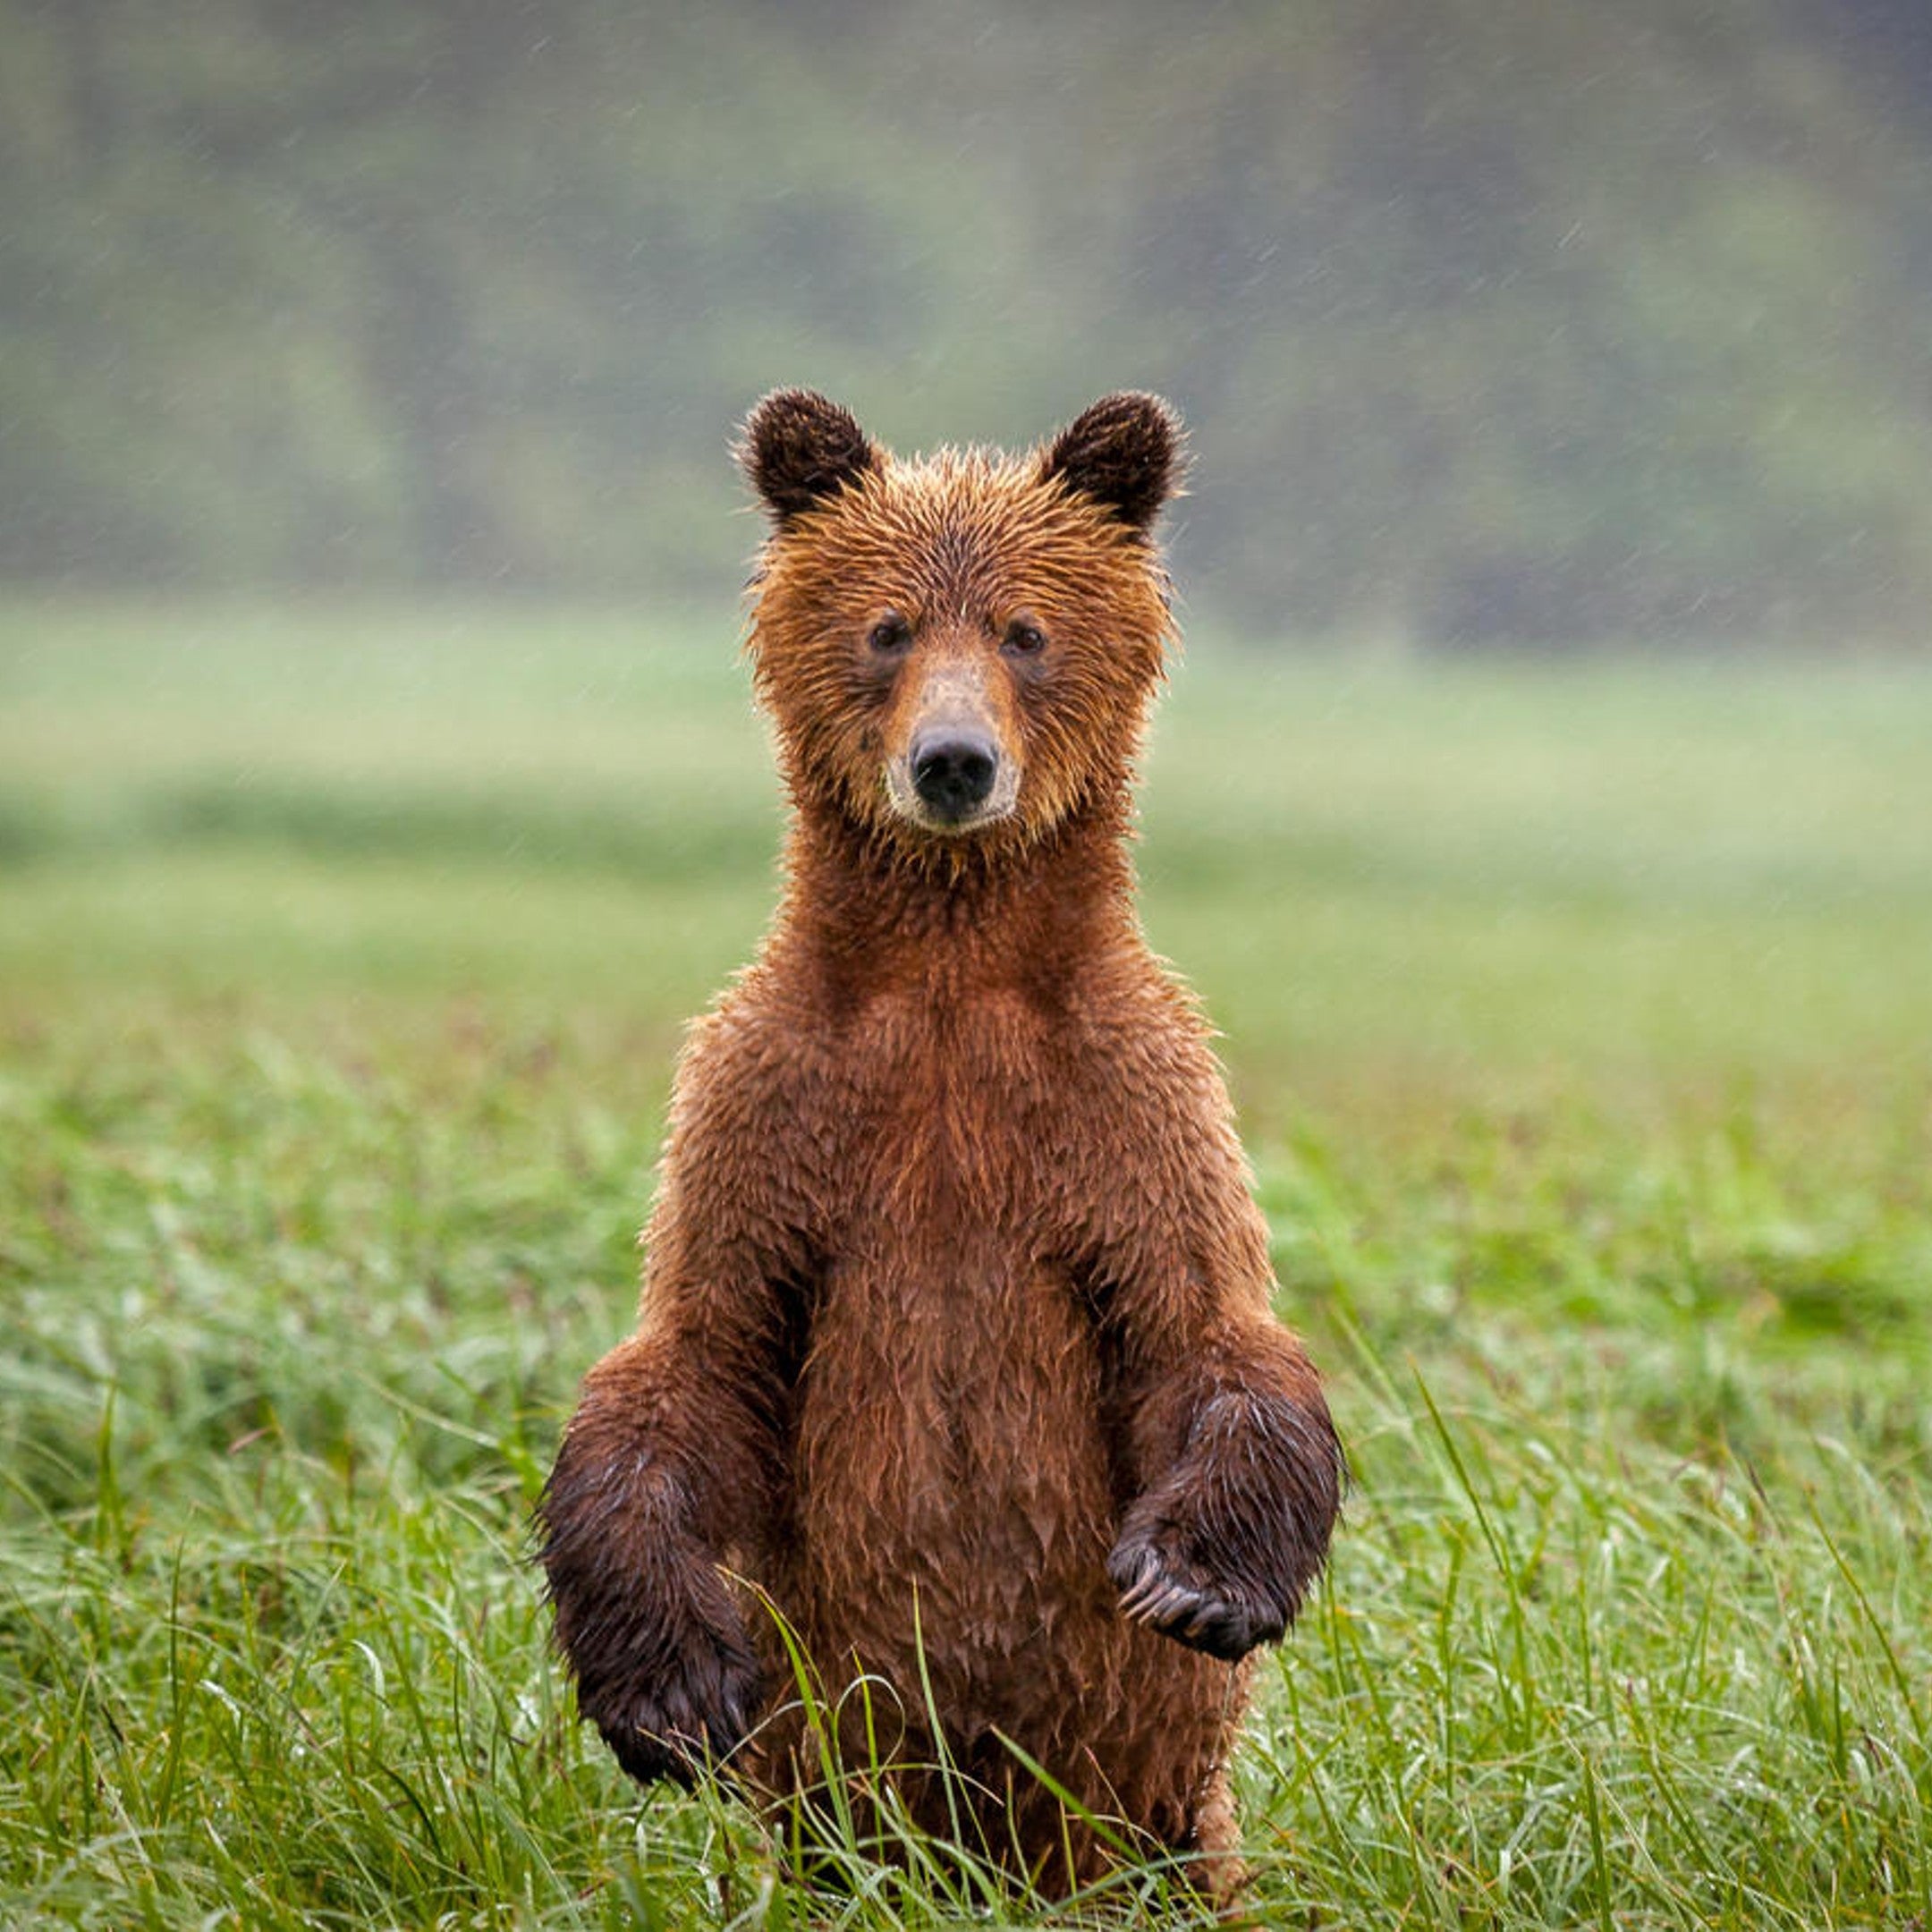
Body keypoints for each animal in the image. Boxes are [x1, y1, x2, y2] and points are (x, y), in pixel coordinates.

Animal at [538, 390, 1342, 1904]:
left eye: (1025, 629)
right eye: (889, 626)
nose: (954, 763)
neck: (949, 974)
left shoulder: (1122, 1102)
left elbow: (1203, 1333)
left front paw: (1193, 1579)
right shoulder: (780, 1102)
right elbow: (694, 1364)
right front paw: (671, 1693)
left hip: (1150, 1799)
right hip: (843, 1781)